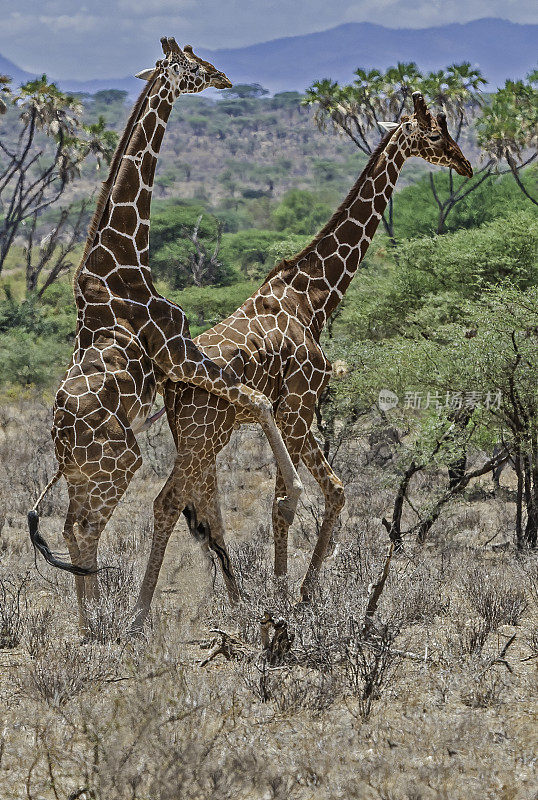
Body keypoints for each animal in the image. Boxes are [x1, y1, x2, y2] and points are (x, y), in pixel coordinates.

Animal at [28, 37, 302, 636]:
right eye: (193, 64)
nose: (224, 78)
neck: (124, 256)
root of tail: (58, 440)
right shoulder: (177, 354)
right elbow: (256, 397)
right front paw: (293, 490)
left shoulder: (181, 359)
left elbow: (251, 399)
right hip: (120, 460)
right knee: (84, 528)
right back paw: (101, 624)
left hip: (87, 470)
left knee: (70, 527)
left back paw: (89, 624)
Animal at [131, 90, 474, 620]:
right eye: (436, 135)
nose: (465, 163)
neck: (313, 297)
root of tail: (169, 383)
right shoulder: (298, 408)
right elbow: (305, 499)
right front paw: (291, 596)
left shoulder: (292, 413)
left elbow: (309, 495)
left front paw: (291, 595)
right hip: (204, 434)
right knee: (168, 503)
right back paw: (138, 617)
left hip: (203, 437)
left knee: (201, 508)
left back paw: (232, 606)